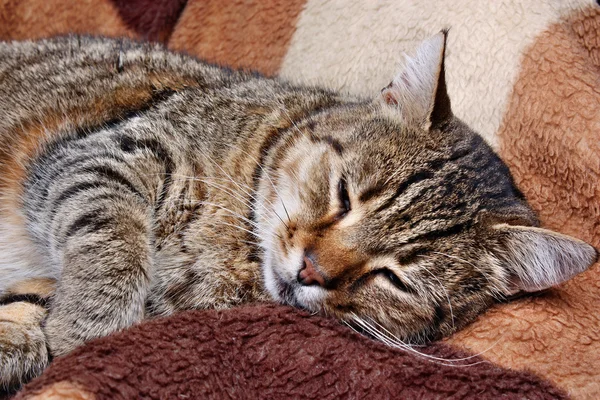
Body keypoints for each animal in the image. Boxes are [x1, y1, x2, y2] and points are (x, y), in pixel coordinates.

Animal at [0, 32, 596, 390]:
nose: (310, 269)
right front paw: (88, 324)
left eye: (396, 279)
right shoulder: (108, 152)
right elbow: (111, 240)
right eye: (344, 193)